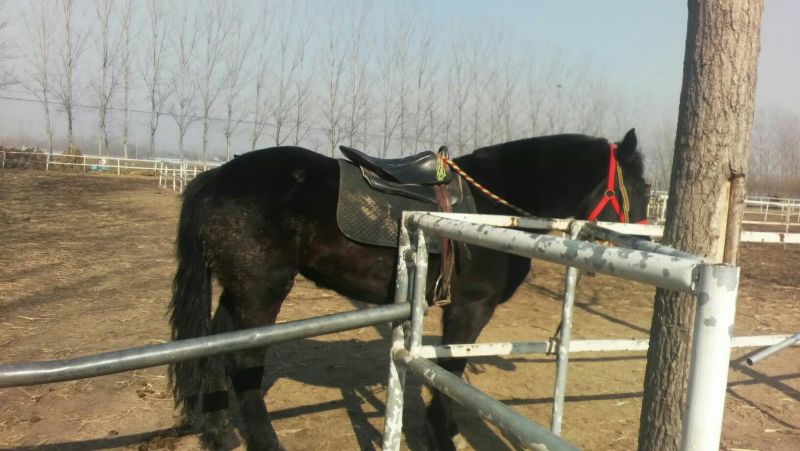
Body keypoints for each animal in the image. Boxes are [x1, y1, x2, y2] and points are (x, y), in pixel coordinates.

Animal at [168, 129, 649, 450]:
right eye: (641, 187)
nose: (643, 242)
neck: (490, 211)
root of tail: (212, 180)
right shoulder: (470, 308)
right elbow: (452, 366)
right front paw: (440, 432)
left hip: (237, 292)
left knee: (213, 346)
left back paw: (219, 431)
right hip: (260, 292)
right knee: (243, 362)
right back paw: (263, 440)